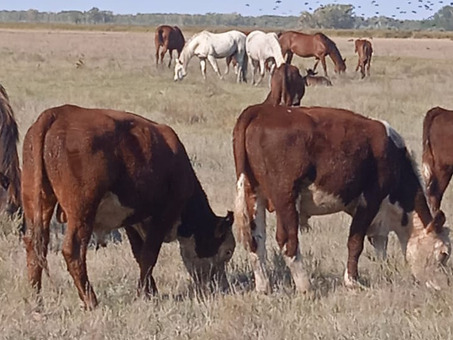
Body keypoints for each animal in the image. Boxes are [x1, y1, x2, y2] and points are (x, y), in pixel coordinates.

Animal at [21, 105, 235, 310]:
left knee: (35, 245)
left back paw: (36, 301)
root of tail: (58, 113)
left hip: (38, 202)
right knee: (73, 250)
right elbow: (149, 256)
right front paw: (143, 293)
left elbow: (139, 254)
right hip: (82, 211)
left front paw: (151, 291)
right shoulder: (163, 216)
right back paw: (91, 301)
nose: (220, 285)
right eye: (227, 252)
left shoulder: (132, 221)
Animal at [231, 103, 450, 292]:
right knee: (287, 240)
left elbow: (379, 243)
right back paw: (305, 286)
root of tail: (261, 110)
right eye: (444, 254)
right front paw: (352, 281)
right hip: (285, 197)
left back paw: (263, 287)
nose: (444, 286)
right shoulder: (370, 200)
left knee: (256, 240)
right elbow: (356, 241)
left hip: (253, 192)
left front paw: (384, 271)